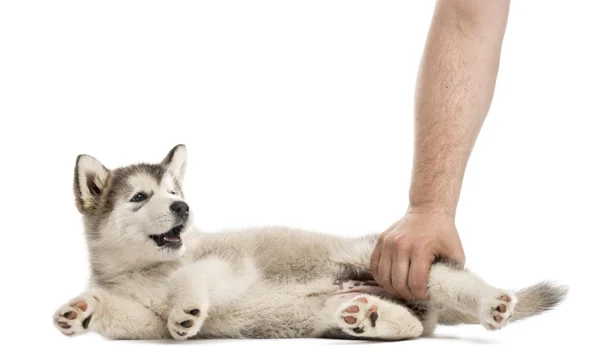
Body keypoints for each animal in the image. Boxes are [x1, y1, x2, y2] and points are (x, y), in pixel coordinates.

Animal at [51, 144, 568, 340]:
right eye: (140, 197)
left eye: (175, 194)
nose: (184, 210)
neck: (146, 271)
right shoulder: (146, 325)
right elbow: (125, 316)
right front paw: (83, 310)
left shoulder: (227, 264)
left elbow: (194, 275)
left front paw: (186, 306)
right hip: (329, 313)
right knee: (412, 327)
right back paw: (368, 316)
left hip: (389, 261)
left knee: (454, 284)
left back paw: (492, 303)